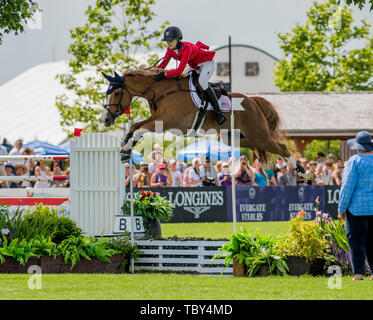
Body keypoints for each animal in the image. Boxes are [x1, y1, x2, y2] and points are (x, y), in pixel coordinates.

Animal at [101, 69, 290, 165]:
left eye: (116, 93)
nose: (105, 119)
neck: (160, 91)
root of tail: (252, 101)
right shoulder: (157, 118)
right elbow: (135, 126)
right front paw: (125, 147)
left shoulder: (166, 122)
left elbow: (140, 129)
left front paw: (126, 148)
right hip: (237, 137)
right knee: (260, 147)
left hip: (258, 134)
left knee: (282, 148)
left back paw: (297, 170)